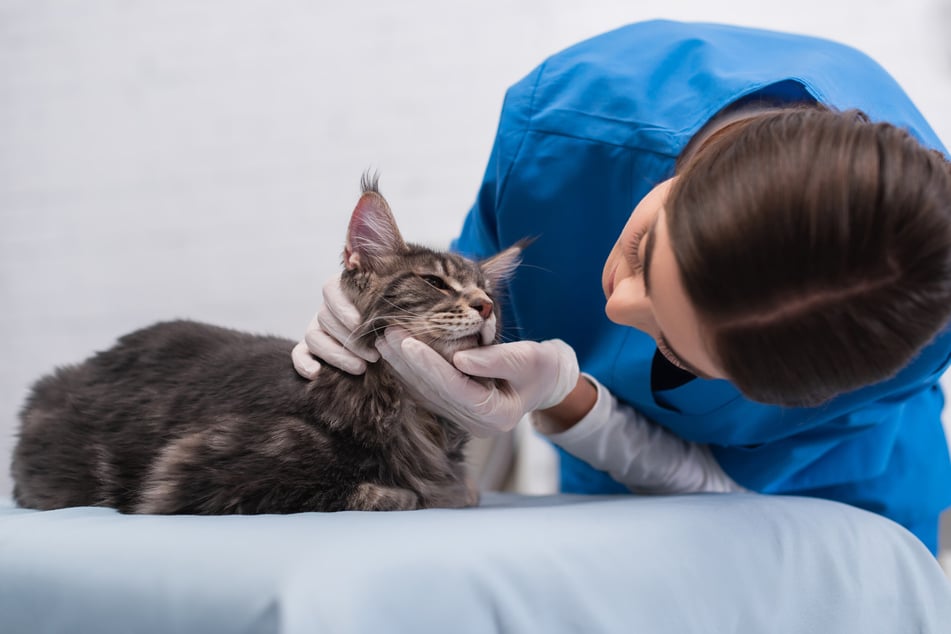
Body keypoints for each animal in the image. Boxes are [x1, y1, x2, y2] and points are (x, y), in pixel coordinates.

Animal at [13, 173, 520, 512]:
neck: (413, 414)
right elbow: (381, 493)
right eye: (434, 282)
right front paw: (410, 492)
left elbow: (461, 489)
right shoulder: (191, 471)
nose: (485, 308)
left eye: (487, 292)